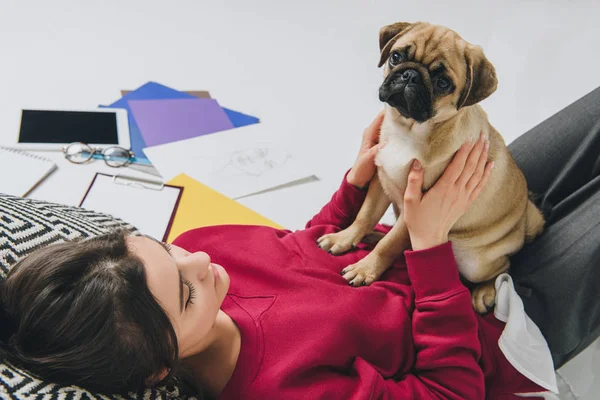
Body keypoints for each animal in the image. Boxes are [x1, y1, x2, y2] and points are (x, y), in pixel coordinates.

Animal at [318, 21, 544, 314]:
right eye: (396, 57)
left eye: (442, 83)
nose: (410, 75)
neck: (409, 130)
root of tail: (523, 224)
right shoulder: (381, 180)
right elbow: (364, 216)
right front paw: (344, 238)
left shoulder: (415, 208)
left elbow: (390, 245)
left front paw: (366, 268)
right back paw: (372, 236)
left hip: (473, 260)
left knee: (504, 269)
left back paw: (484, 292)